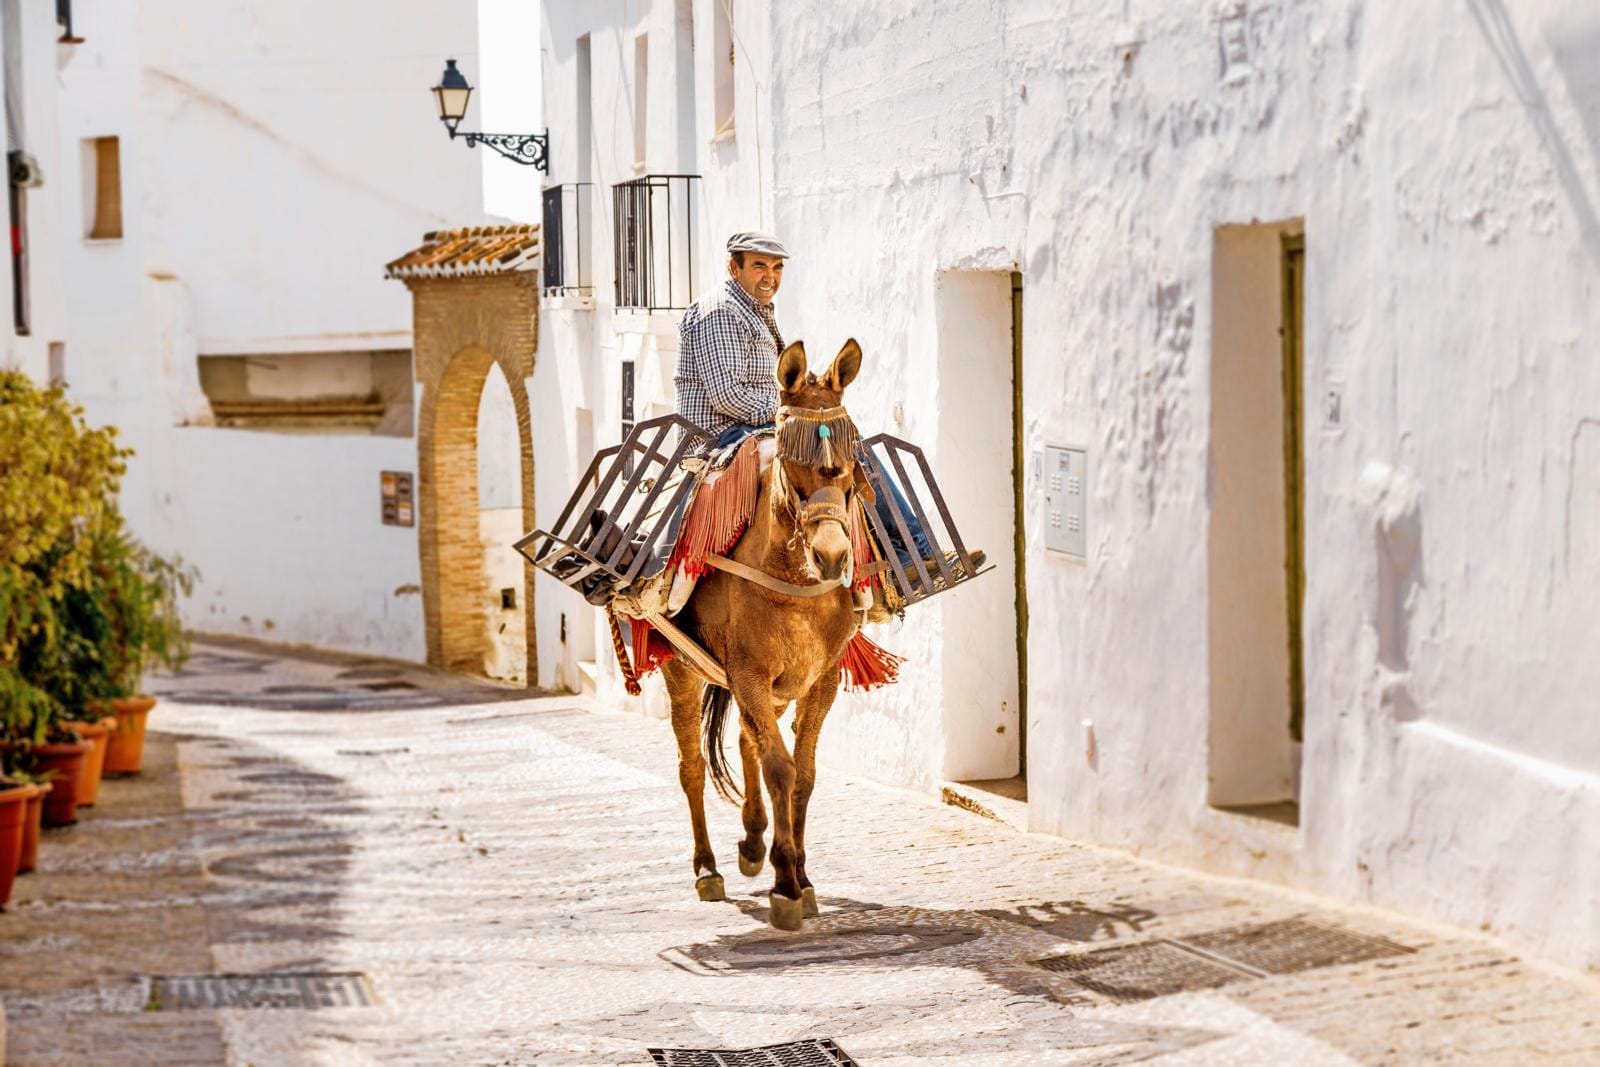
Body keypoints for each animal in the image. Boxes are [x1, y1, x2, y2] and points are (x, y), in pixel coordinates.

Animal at [659, 337, 871, 932]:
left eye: (849, 467)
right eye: (793, 468)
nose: (832, 557)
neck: (792, 579)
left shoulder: (817, 681)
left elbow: (803, 772)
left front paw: (798, 871)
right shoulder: (749, 674)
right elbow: (780, 768)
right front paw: (786, 885)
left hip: (771, 689)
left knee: (746, 740)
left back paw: (753, 841)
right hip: (682, 670)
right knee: (692, 767)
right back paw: (707, 867)